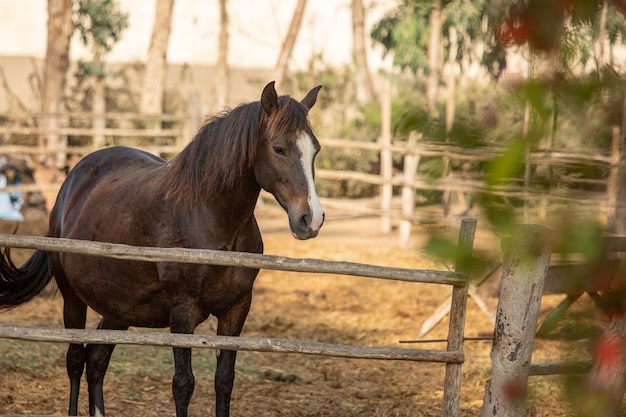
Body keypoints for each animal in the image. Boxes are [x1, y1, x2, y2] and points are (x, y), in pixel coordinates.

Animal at [0, 82, 322, 416]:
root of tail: (70, 183)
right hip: (72, 298)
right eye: (278, 148)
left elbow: (224, 380)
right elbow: (183, 383)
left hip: (118, 309)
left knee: (96, 360)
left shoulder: (237, 309)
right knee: (75, 360)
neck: (210, 217)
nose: (311, 218)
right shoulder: (182, 312)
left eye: (315, 149)